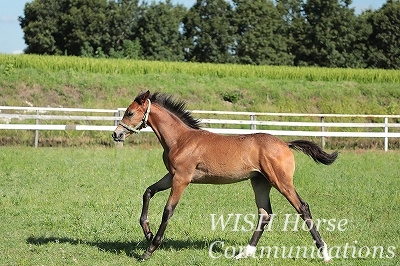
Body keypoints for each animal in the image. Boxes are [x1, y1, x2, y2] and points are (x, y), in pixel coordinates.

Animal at [112, 91, 338, 262]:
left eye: (130, 112)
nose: (116, 134)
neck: (181, 140)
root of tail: (286, 144)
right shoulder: (172, 175)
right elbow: (148, 191)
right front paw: (148, 232)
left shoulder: (182, 179)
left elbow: (168, 210)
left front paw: (150, 249)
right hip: (260, 182)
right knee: (264, 214)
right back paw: (245, 253)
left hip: (281, 181)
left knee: (302, 207)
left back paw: (325, 253)